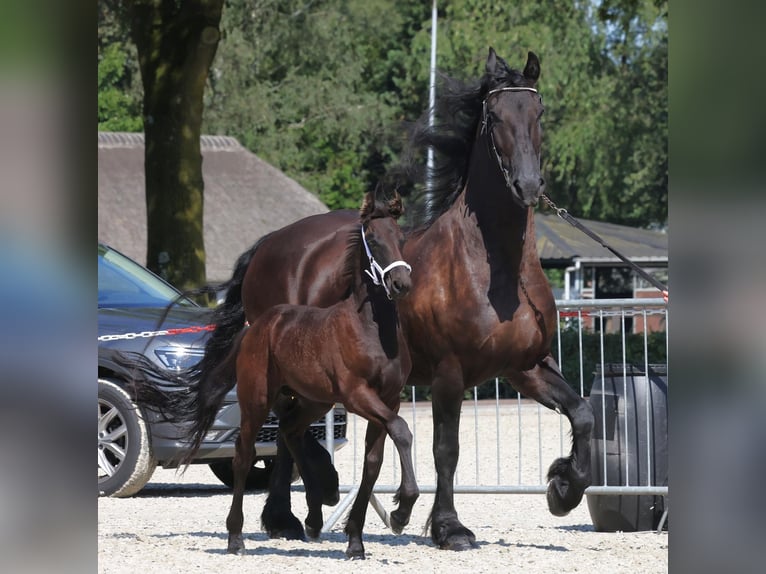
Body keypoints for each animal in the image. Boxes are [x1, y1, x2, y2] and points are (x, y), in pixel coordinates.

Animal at [125, 190, 418, 559]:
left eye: (402, 238)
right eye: (375, 240)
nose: (401, 283)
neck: (369, 329)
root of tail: (255, 326)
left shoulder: (388, 399)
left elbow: (375, 461)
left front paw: (357, 540)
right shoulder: (357, 394)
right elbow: (402, 431)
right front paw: (401, 511)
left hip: (315, 400)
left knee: (290, 431)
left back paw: (310, 516)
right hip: (258, 398)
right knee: (244, 453)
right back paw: (239, 536)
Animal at [199, 47, 594, 551]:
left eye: (538, 111)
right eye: (495, 116)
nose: (527, 186)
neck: (494, 271)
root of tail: (270, 243)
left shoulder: (524, 367)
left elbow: (582, 413)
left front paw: (564, 488)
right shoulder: (449, 373)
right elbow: (446, 449)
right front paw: (448, 527)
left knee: (289, 428)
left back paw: (299, 513)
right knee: (282, 428)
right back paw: (299, 506)